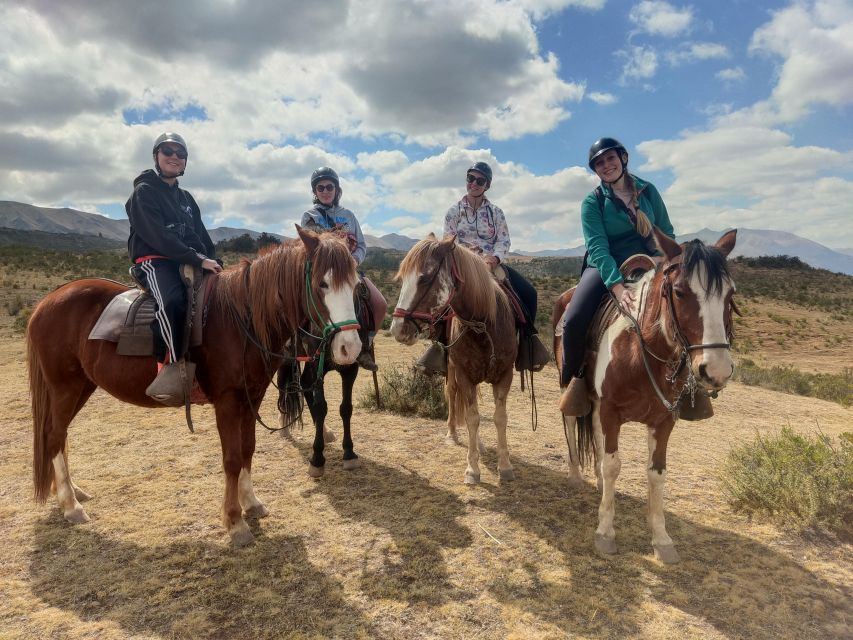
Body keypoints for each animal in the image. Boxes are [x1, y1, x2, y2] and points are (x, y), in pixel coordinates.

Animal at [26, 228, 360, 548]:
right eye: (322, 283)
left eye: (356, 283)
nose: (350, 347)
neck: (242, 317)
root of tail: (46, 302)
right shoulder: (227, 401)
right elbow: (232, 458)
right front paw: (235, 522)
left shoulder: (252, 397)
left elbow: (248, 449)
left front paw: (251, 502)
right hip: (64, 386)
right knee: (54, 435)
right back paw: (71, 506)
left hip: (82, 386)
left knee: (60, 436)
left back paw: (73, 492)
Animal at [392, 236, 516, 484]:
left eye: (425, 278)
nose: (397, 329)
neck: (483, 325)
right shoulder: (464, 375)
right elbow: (471, 417)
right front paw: (472, 469)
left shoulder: (505, 376)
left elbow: (499, 418)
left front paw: (505, 466)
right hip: (453, 369)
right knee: (453, 395)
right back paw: (453, 434)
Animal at [548, 229, 736, 560]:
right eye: (679, 292)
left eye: (730, 295)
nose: (717, 370)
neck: (643, 351)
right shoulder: (611, 411)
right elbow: (613, 465)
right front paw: (605, 532)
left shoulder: (663, 421)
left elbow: (656, 473)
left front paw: (661, 539)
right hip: (568, 383)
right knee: (571, 422)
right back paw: (575, 475)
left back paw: (598, 482)